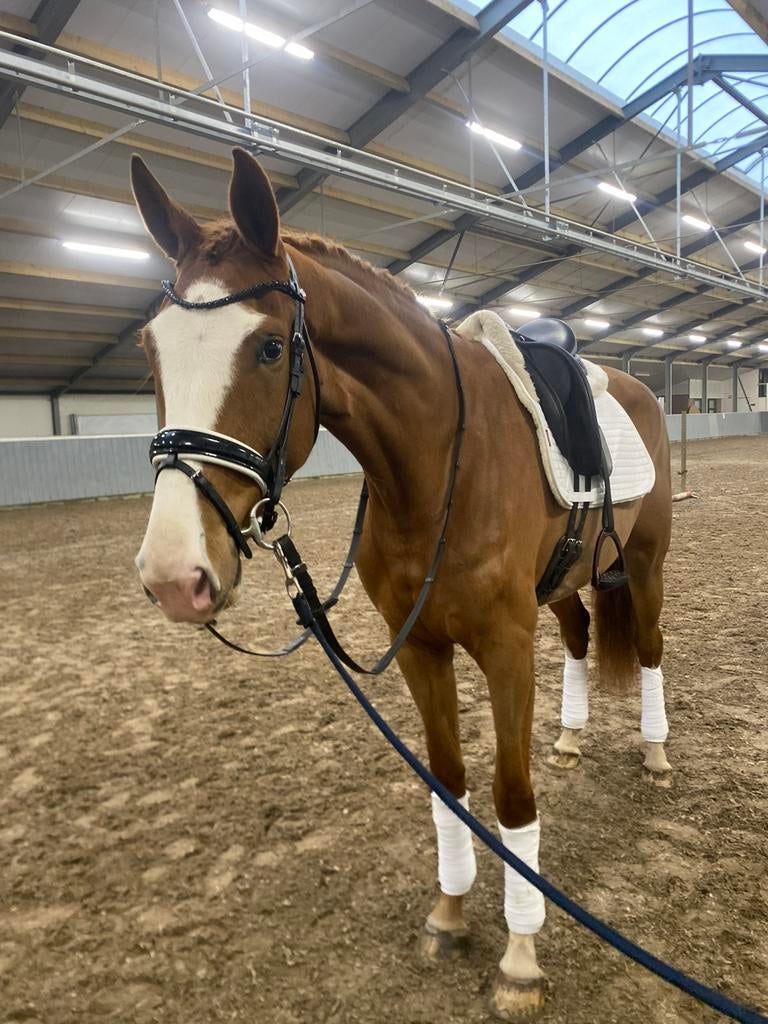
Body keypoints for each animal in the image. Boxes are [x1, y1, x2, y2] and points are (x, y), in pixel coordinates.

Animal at [130, 147, 673, 1020]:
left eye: (271, 349)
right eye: (152, 348)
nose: (175, 575)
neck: (438, 459)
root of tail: (638, 386)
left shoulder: (505, 646)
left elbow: (511, 796)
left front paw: (521, 956)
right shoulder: (418, 645)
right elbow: (449, 782)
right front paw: (450, 912)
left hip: (647, 567)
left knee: (650, 648)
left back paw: (655, 755)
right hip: (562, 589)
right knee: (582, 641)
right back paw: (570, 737)